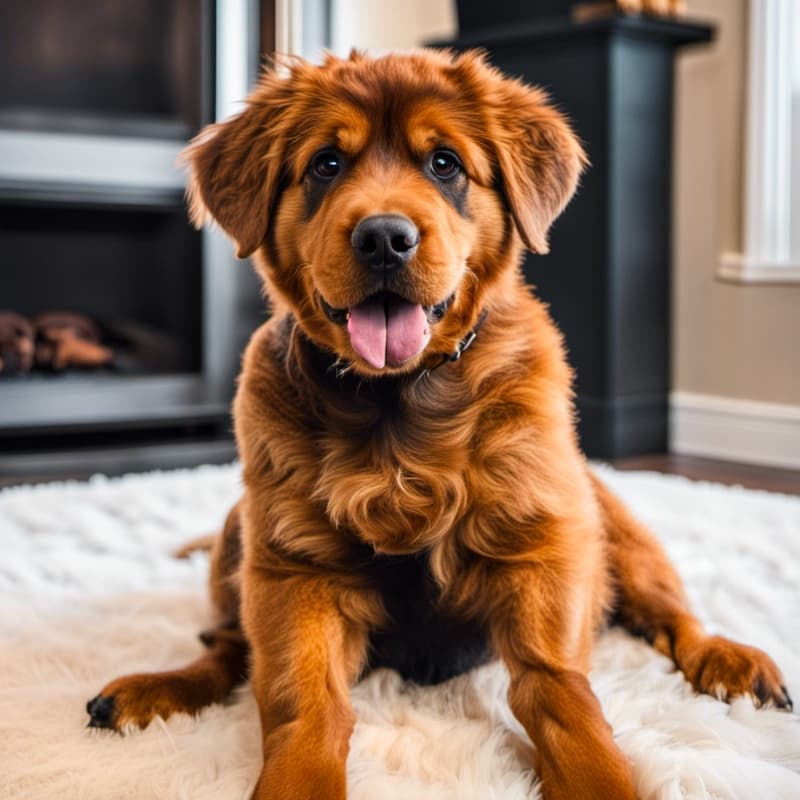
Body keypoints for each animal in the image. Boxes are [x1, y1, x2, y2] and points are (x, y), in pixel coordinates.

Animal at [89, 51, 792, 800]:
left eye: (445, 163)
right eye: (326, 164)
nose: (384, 239)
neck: (399, 401)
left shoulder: (541, 549)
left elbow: (557, 689)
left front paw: (600, 775)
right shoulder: (294, 567)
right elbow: (303, 701)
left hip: (621, 536)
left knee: (675, 617)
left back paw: (731, 660)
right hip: (238, 536)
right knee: (226, 650)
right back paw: (151, 691)